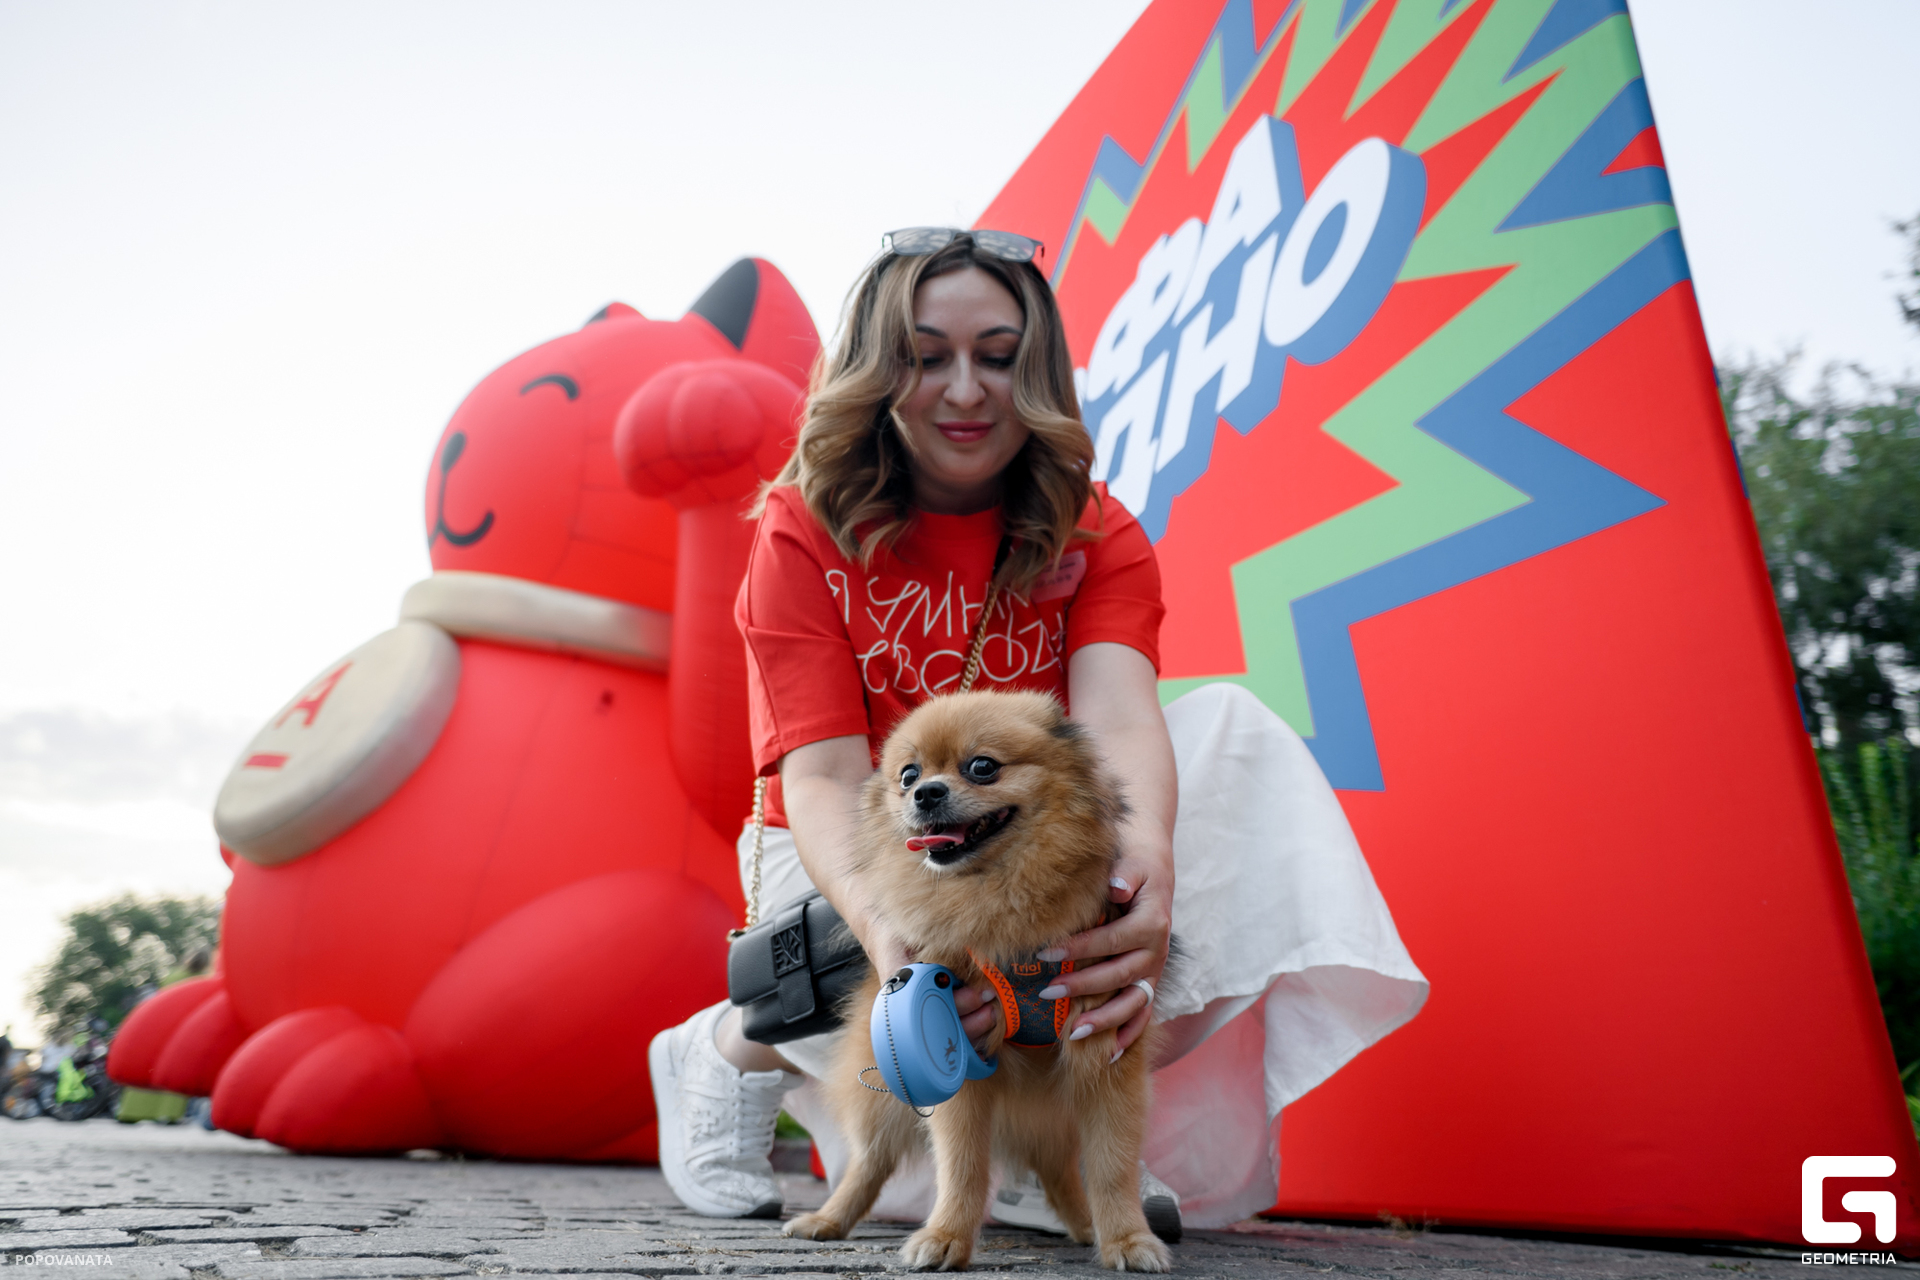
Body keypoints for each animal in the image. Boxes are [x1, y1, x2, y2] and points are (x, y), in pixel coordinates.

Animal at [782, 689, 1172, 1272]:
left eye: (982, 767)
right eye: (908, 775)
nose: (926, 792)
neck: (999, 900)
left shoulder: (1104, 1052)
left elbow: (1112, 1164)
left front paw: (1127, 1239)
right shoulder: (959, 1051)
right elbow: (962, 1163)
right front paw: (946, 1236)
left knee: (1059, 1170)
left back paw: (1084, 1225)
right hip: (884, 1093)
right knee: (867, 1162)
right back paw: (827, 1220)